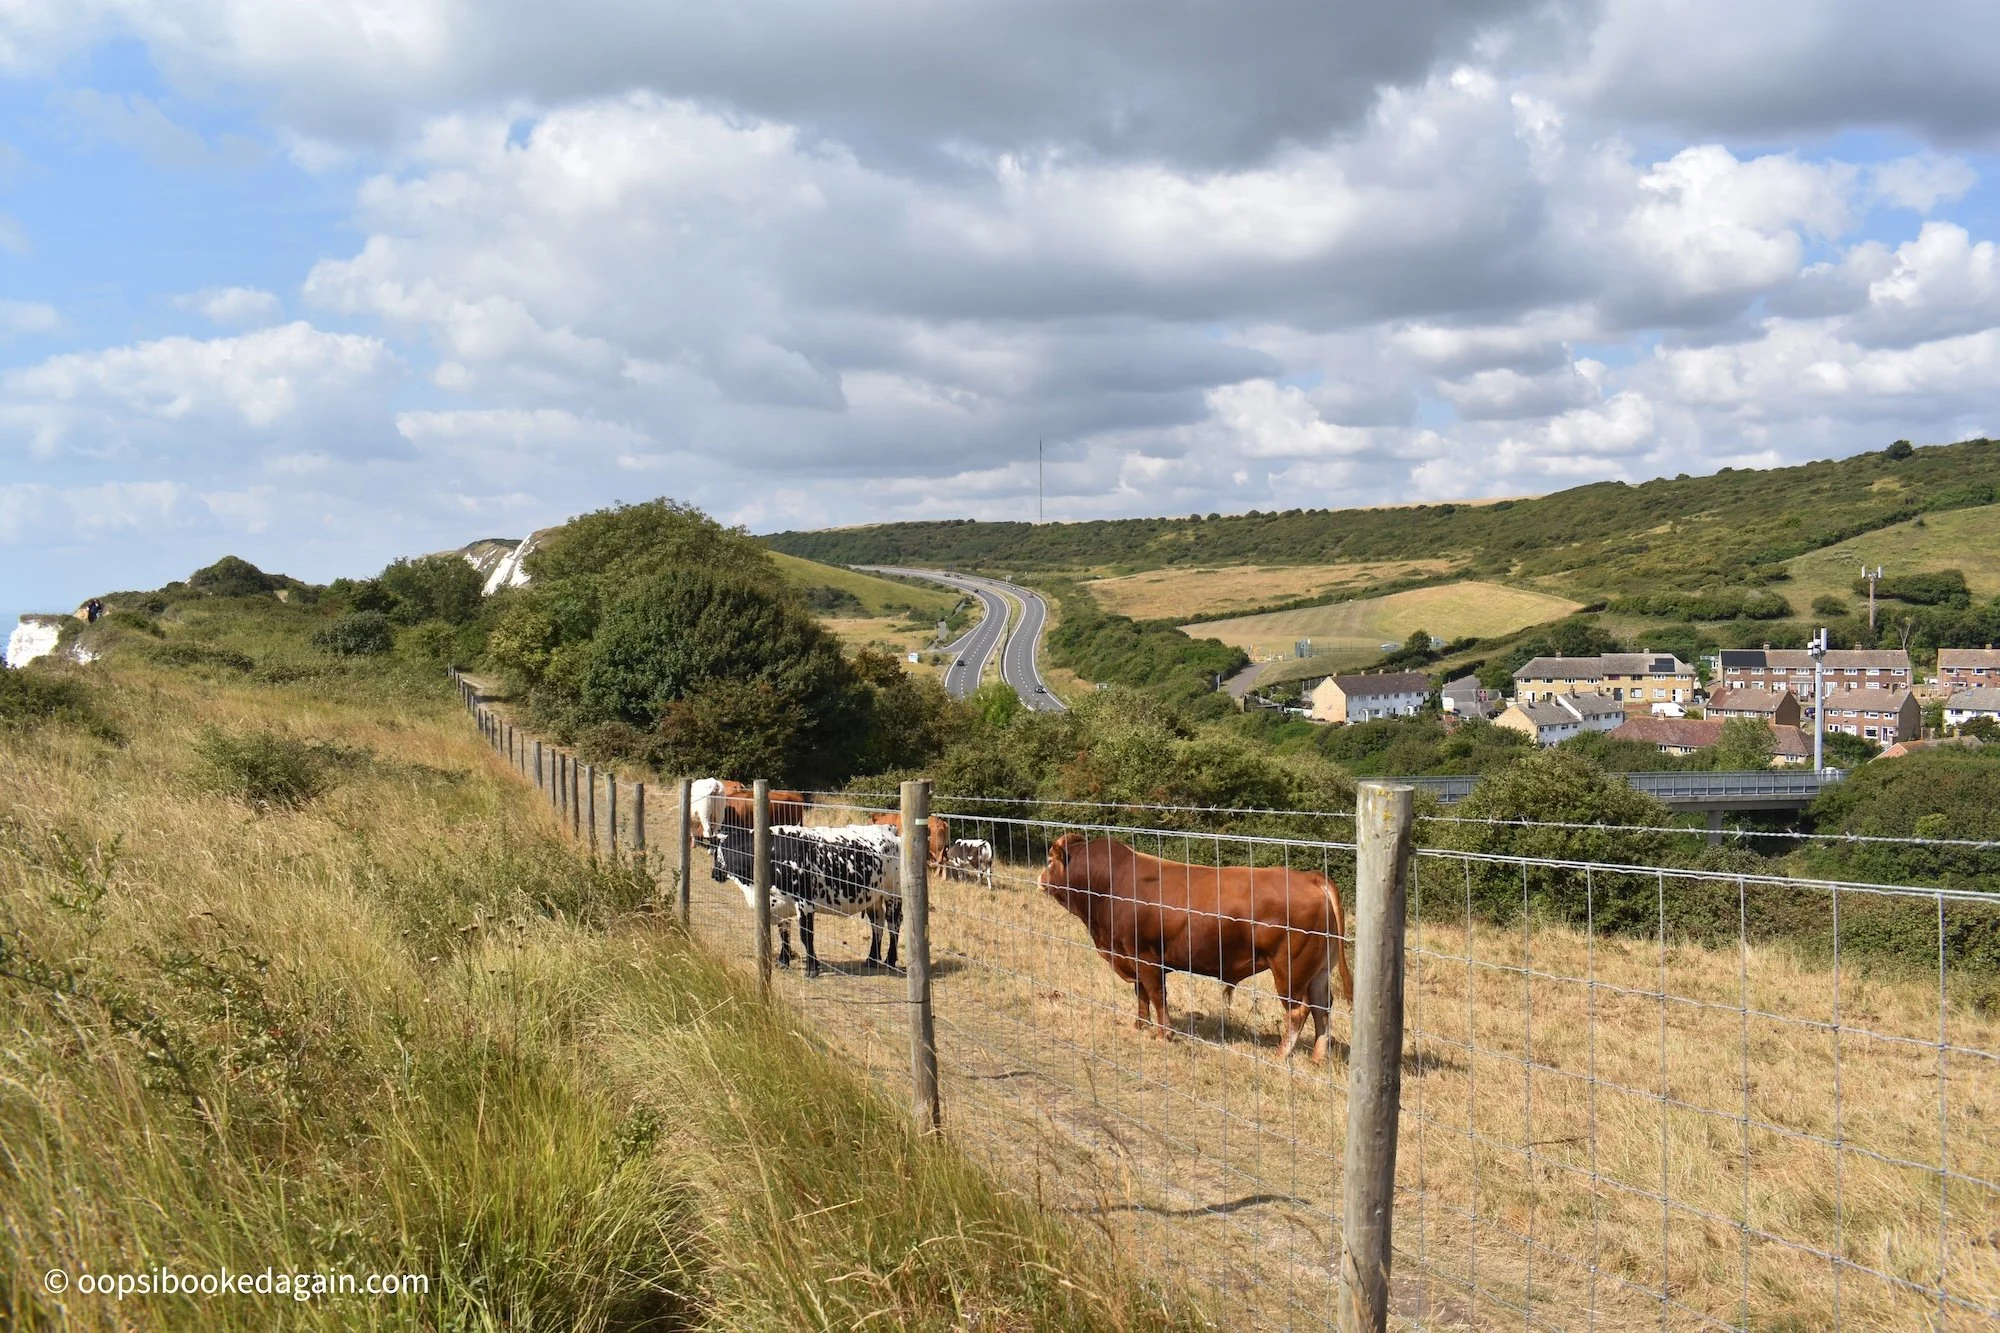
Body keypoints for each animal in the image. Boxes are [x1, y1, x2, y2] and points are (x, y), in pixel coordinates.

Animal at [709, 821, 903, 978]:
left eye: (716, 853)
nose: (714, 874)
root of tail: (889, 829)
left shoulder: (804, 903)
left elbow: (806, 935)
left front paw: (812, 969)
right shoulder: (781, 903)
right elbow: (784, 932)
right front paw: (783, 961)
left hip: (893, 894)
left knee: (893, 925)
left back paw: (890, 960)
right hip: (873, 897)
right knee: (877, 924)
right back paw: (872, 959)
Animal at [1037, 833, 1354, 1063]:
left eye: (1050, 860)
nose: (1040, 878)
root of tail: (1311, 877)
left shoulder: (1146, 957)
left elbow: (1156, 994)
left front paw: (1164, 1034)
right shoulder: (1131, 955)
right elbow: (1141, 994)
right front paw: (1140, 1026)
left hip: (1289, 969)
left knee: (1299, 1011)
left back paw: (1280, 1055)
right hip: (1318, 971)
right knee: (1322, 1009)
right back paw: (1317, 1058)